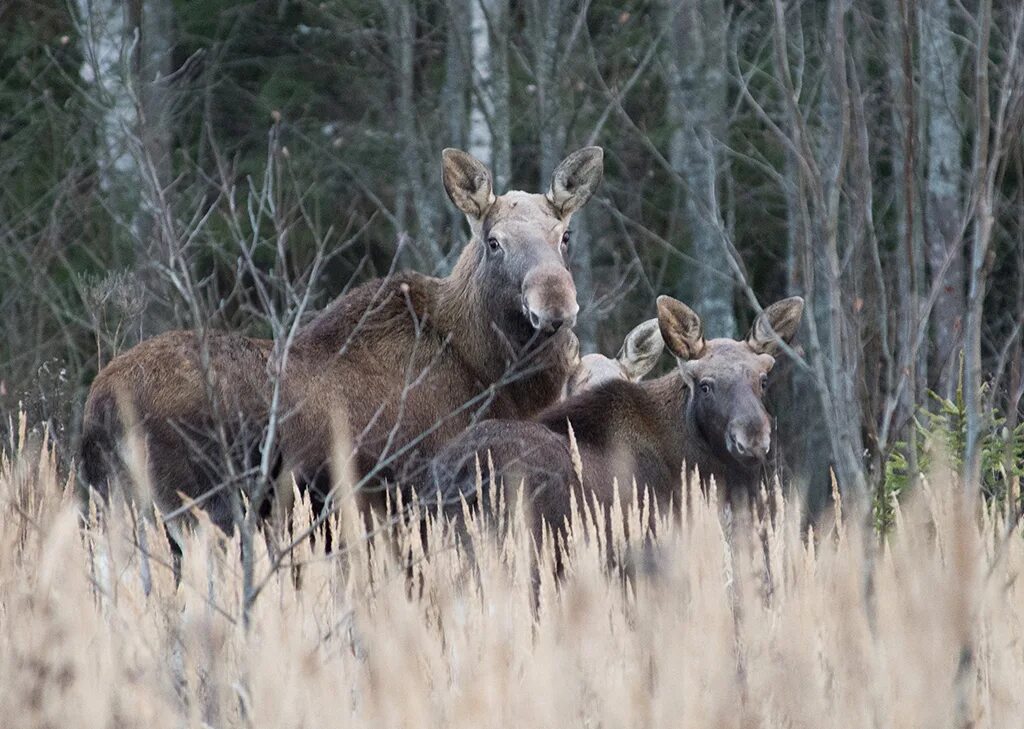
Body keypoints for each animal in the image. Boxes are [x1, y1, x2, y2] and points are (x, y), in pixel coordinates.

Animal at [86, 145, 606, 536]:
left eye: (565, 236)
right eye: (494, 241)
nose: (555, 305)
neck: (498, 377)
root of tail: (97, 406)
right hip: (199, 510)